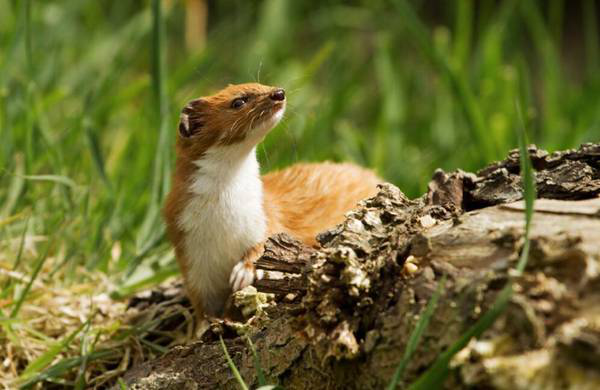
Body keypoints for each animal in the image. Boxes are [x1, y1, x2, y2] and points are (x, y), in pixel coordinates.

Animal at [164, 84, 380, 318]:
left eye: (260, 84)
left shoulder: (264, 217)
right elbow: (203, 306)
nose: (279, 92)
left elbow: (265, 242)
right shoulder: (192, 259)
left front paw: (245, 270)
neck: (223, 216)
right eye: (238, 101)